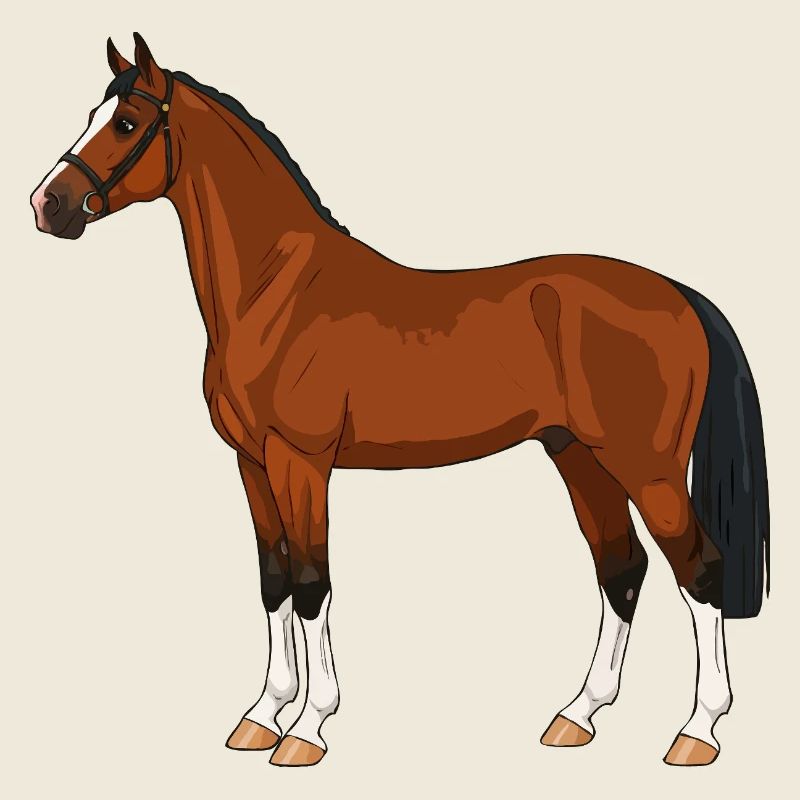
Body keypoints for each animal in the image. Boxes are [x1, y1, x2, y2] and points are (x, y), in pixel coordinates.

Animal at [30, 33, 769, 768]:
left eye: (126, 124)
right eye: (93, 115)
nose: (47, 205)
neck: (275, 292)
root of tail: (679, 294)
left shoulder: (301, 462)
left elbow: (311, 583)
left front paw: (307, 729)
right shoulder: (251, 464)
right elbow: (273, 582)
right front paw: (261, 716)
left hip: (647, 468)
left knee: (699, 571)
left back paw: (696, 732)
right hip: (578, 457)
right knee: (622, 570)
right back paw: (576, 716)